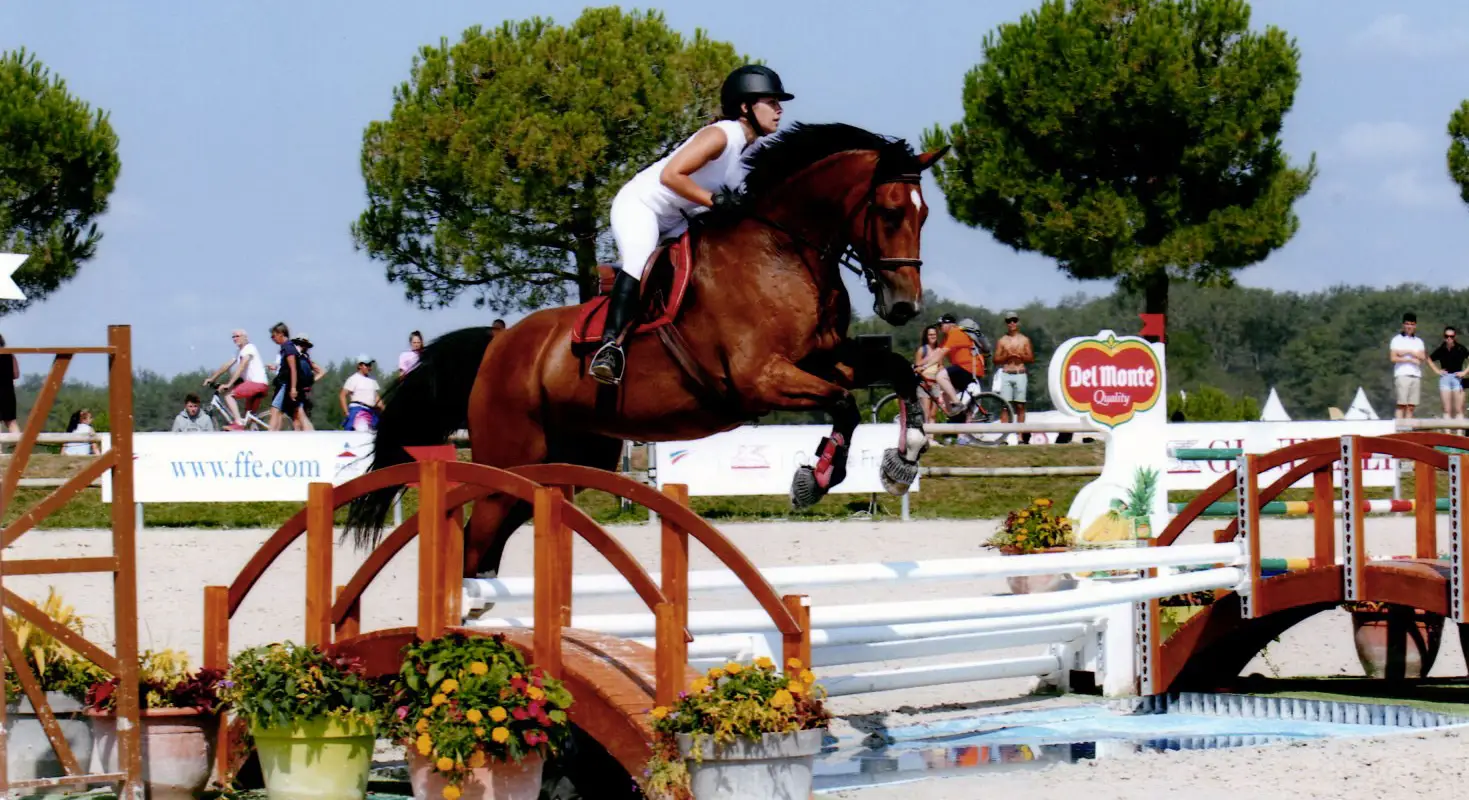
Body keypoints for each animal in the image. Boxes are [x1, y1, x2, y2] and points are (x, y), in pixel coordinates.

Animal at [345, 122, 948, 577]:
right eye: (891, 212)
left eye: (923, 216)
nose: (903, 306)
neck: (783, 248)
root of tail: (499, 343)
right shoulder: (760, 378)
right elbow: (844, 402)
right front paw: (814, 479)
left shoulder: (820, 357)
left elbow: (897, 372)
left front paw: (903, 459)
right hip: (510, 459)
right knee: (476, 542)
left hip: (561, 465)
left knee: (489, 545)